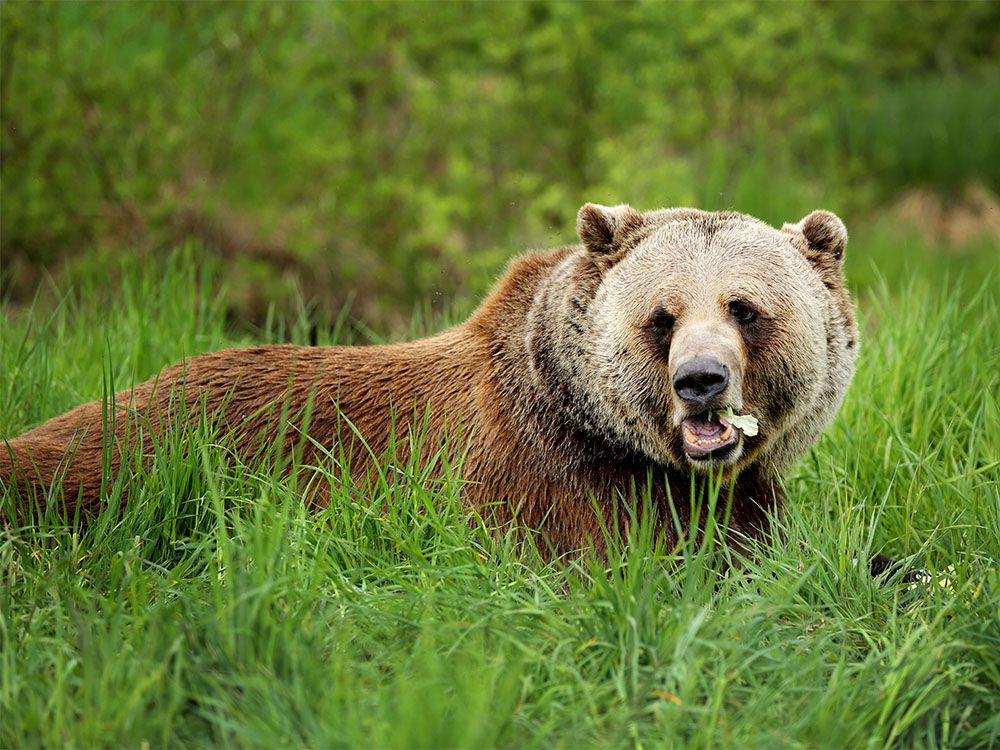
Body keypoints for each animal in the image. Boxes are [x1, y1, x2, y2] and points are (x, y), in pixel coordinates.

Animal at [0, 204, 860, 560]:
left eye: (744, 308)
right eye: (663, 314)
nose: (701, 381)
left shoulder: (743, 497)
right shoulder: (553, 484)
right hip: (150, 452)